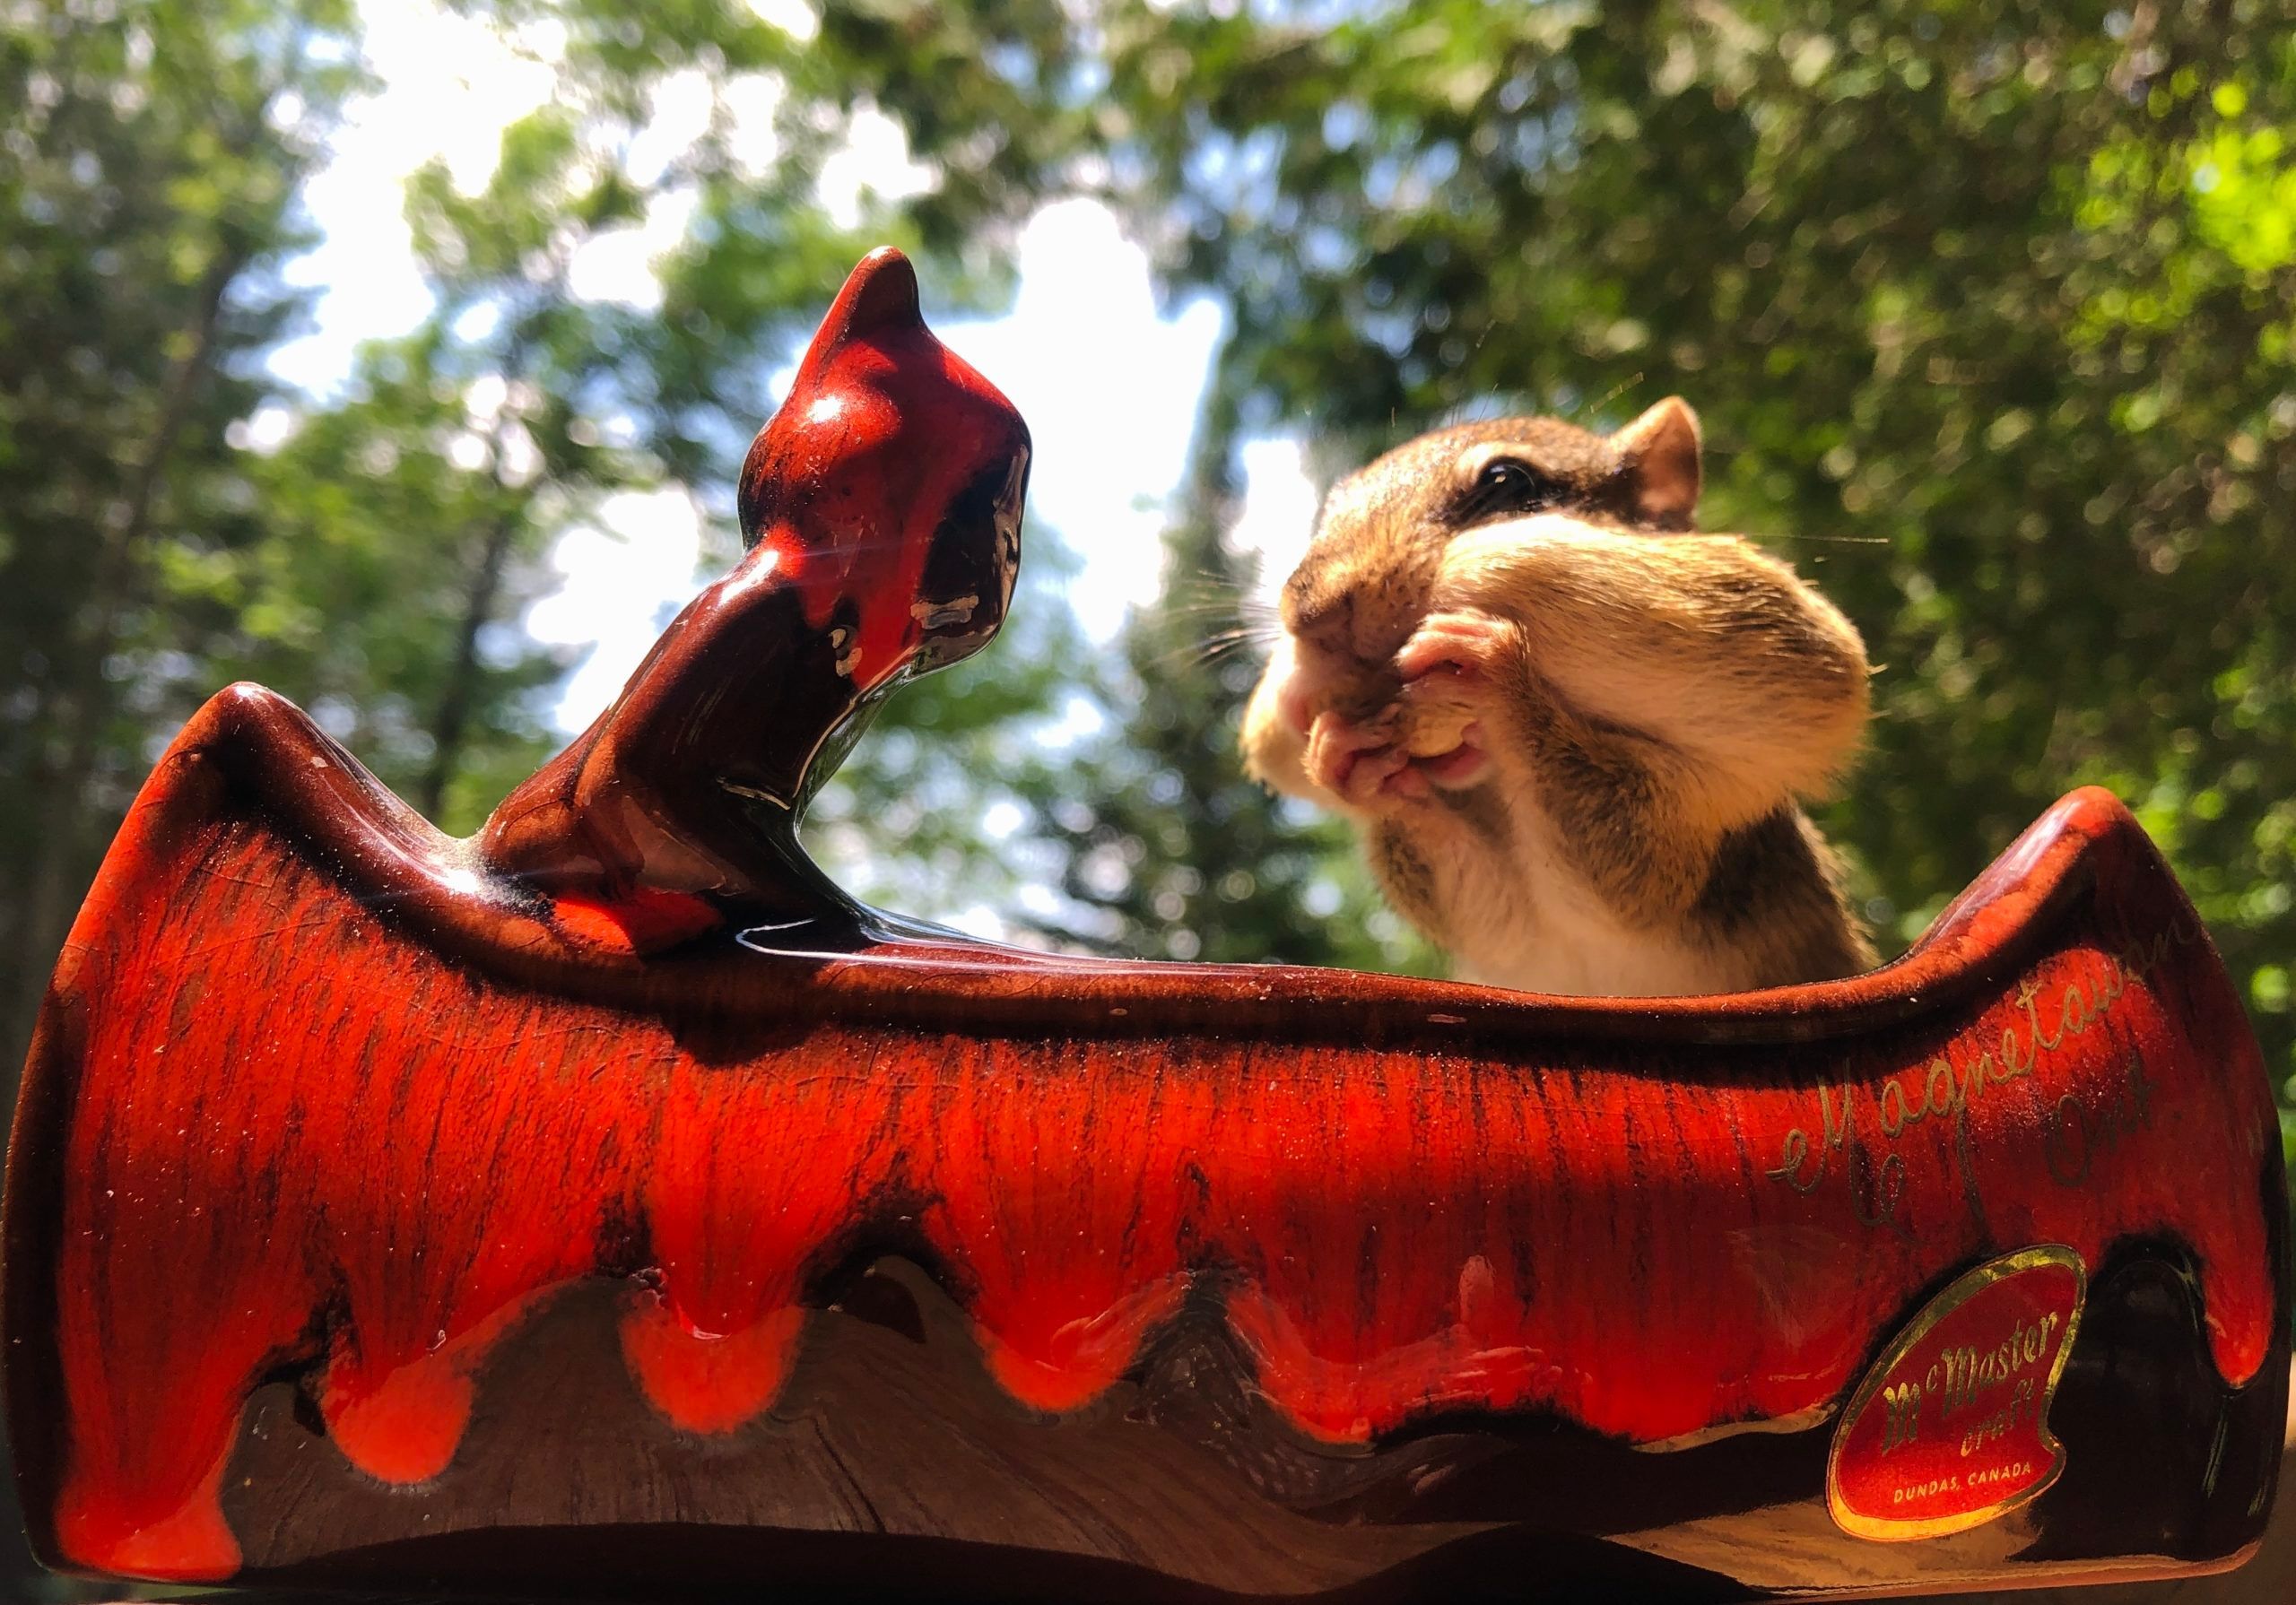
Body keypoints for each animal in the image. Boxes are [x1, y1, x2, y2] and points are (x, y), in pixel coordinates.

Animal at [1239, 398, 1878, 997]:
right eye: (1327, 513)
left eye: (1507, 482)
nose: (1311, 618)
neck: (1495, 788)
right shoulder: (1510, 925)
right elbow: (1485, 909)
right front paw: (1357, 765)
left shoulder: (1689, 846)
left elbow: (1619, 871)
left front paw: (1499, 674)